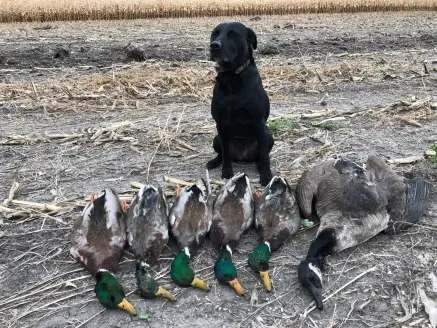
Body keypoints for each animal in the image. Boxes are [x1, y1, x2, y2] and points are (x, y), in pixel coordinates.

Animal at [205, 22, 272, 187]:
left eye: (232, 34)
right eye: (214, 34)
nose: (214, 45)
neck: (231, 78)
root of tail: (243, 155)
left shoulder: (259, 122)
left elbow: (264, 155)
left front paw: (266, 175)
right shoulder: (220, 124)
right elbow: (226, 154)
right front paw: (226, 171)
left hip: (268, 135)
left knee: (262, 154)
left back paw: (260, 165)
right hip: (216, 138)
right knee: (222, 153)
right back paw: (214, 162)